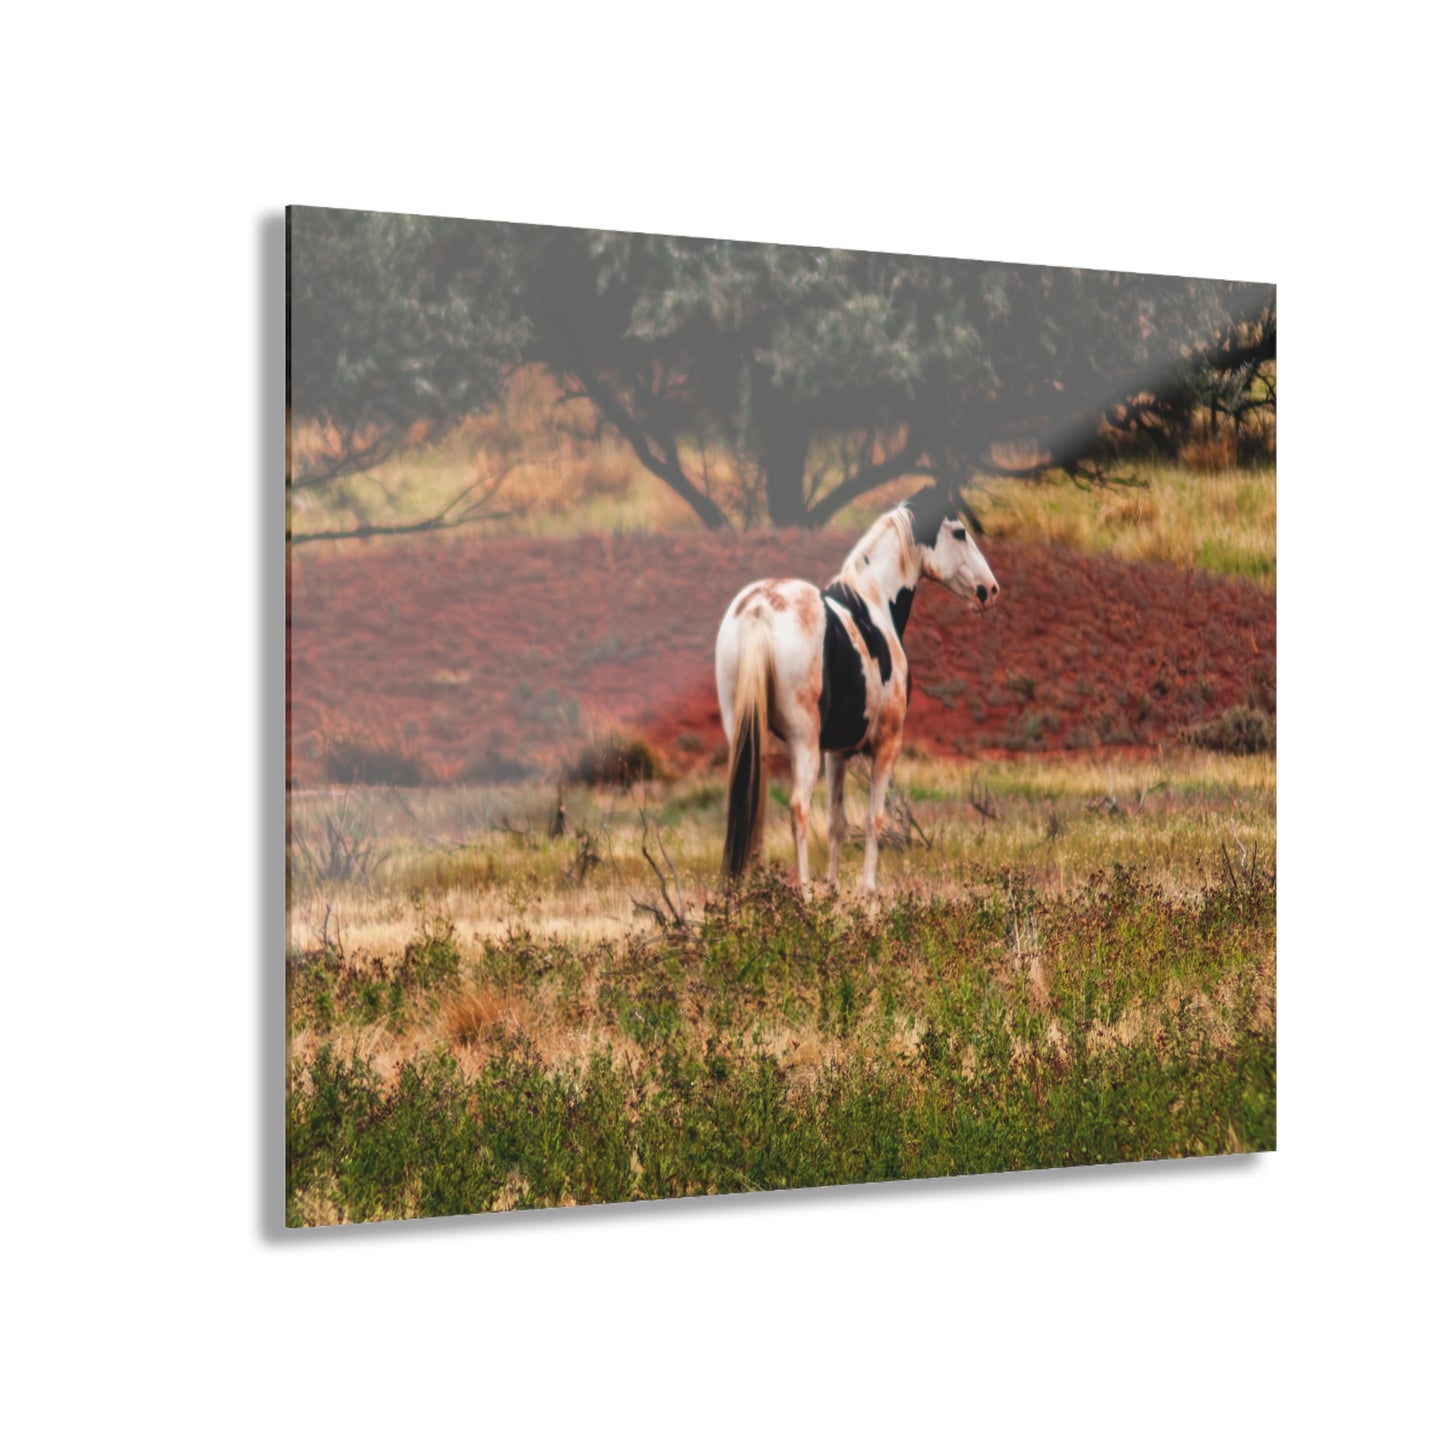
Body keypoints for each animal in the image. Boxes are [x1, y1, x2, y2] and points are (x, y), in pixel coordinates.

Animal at [714, 485, 999, 892]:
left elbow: (837, 823)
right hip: (802, 741)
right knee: (799, 808)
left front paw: (833, 889)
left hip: (746, 733)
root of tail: (758, 610)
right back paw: (804, 892)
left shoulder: (837, 752)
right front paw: (867, 891)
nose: (989, 590)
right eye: (959, 532)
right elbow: (872, 820)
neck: (873, 602)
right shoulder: (885, 746)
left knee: (751, 804)